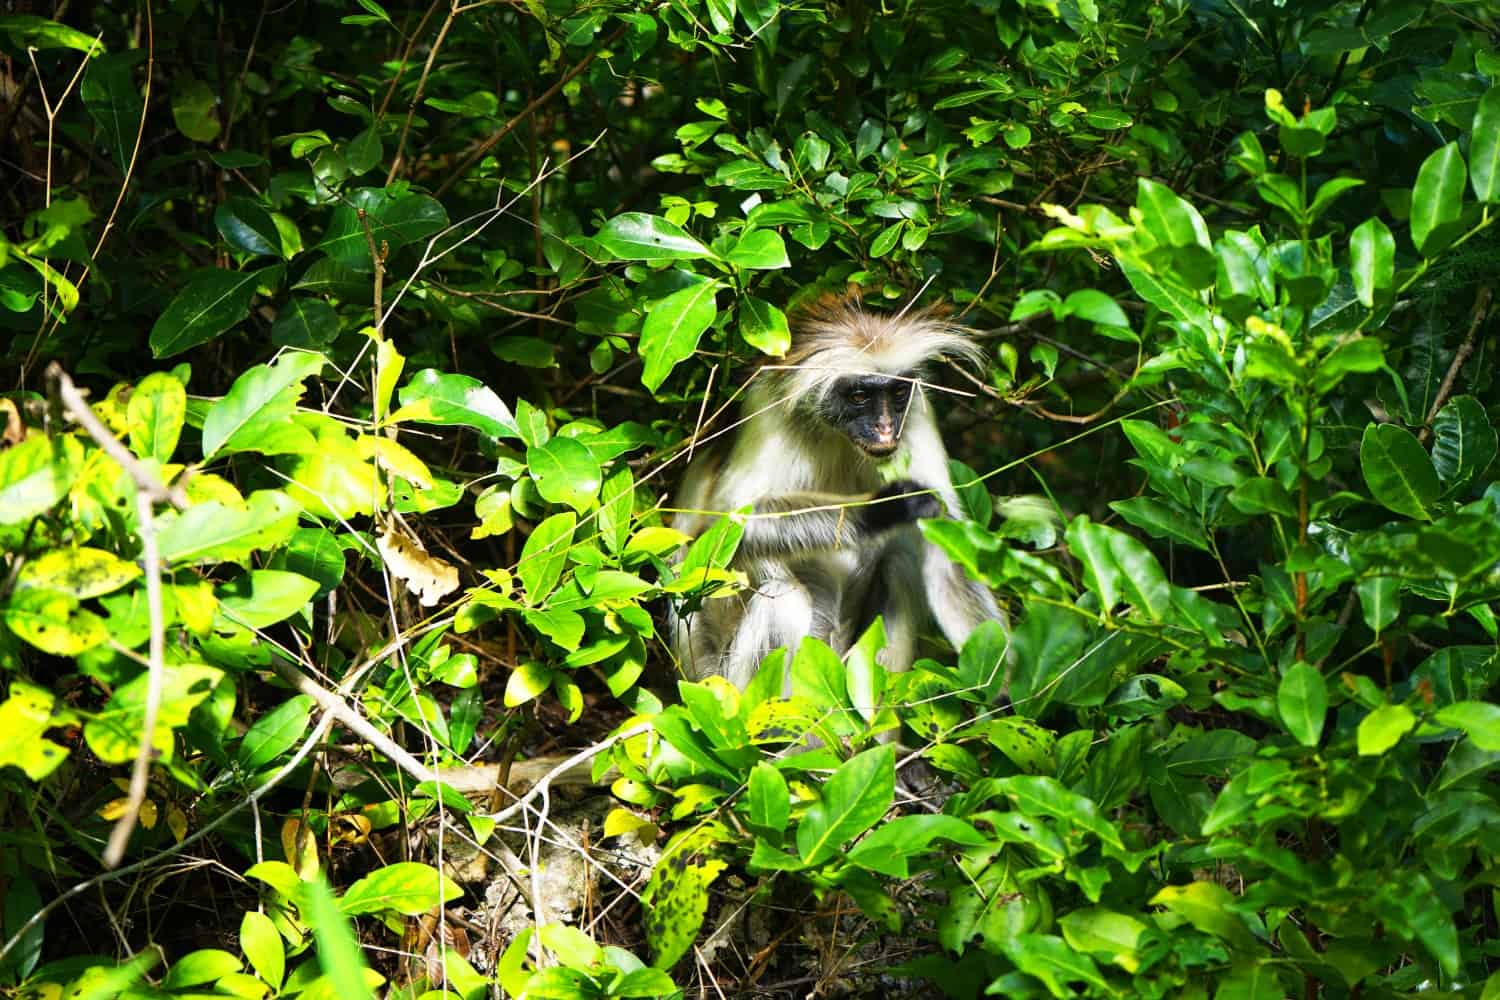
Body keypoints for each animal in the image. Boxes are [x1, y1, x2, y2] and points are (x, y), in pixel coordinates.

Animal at [672, 293, 1002, 692]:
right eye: (859, 395)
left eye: (897, 392)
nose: (885, 429)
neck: (840, 438)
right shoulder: (770, 411)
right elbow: (727, 523)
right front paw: (884, 508)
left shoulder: (916, 413)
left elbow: (945, 547)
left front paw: (1001, 692)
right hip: (717, 673)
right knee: (784, 600)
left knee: (900, 565)